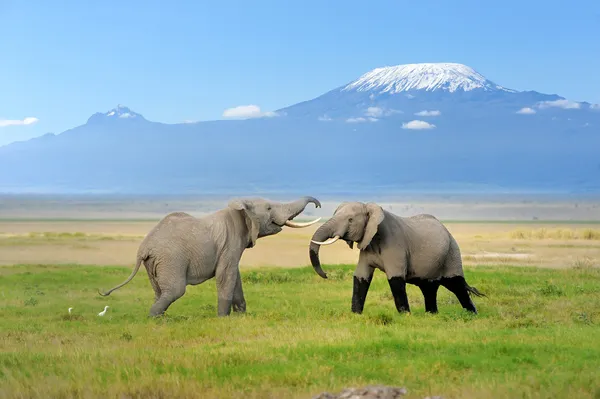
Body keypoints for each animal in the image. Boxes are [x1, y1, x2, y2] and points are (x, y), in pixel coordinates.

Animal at [99, 195, 324, 318]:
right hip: (170, 259)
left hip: (154, 263)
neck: (239, 208)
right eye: (269, 208)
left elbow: (235, 277)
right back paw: (154, 319)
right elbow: (227, 275)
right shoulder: (230, 243)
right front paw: (223, 319)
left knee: (159, 292)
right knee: (175, 291)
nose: (318, 205)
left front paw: (241, 317)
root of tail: (143, 249)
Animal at [308, 203, 486, 316]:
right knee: (429, 288)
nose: (326, 275)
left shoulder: (395, 245)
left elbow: (395, 279)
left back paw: (472, 315)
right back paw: (432, 315)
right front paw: (355, 315)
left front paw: (405, 316)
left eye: (350, 220)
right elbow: (361, 277)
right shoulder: (367, 244)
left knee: (456, 285)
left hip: (452, 252)